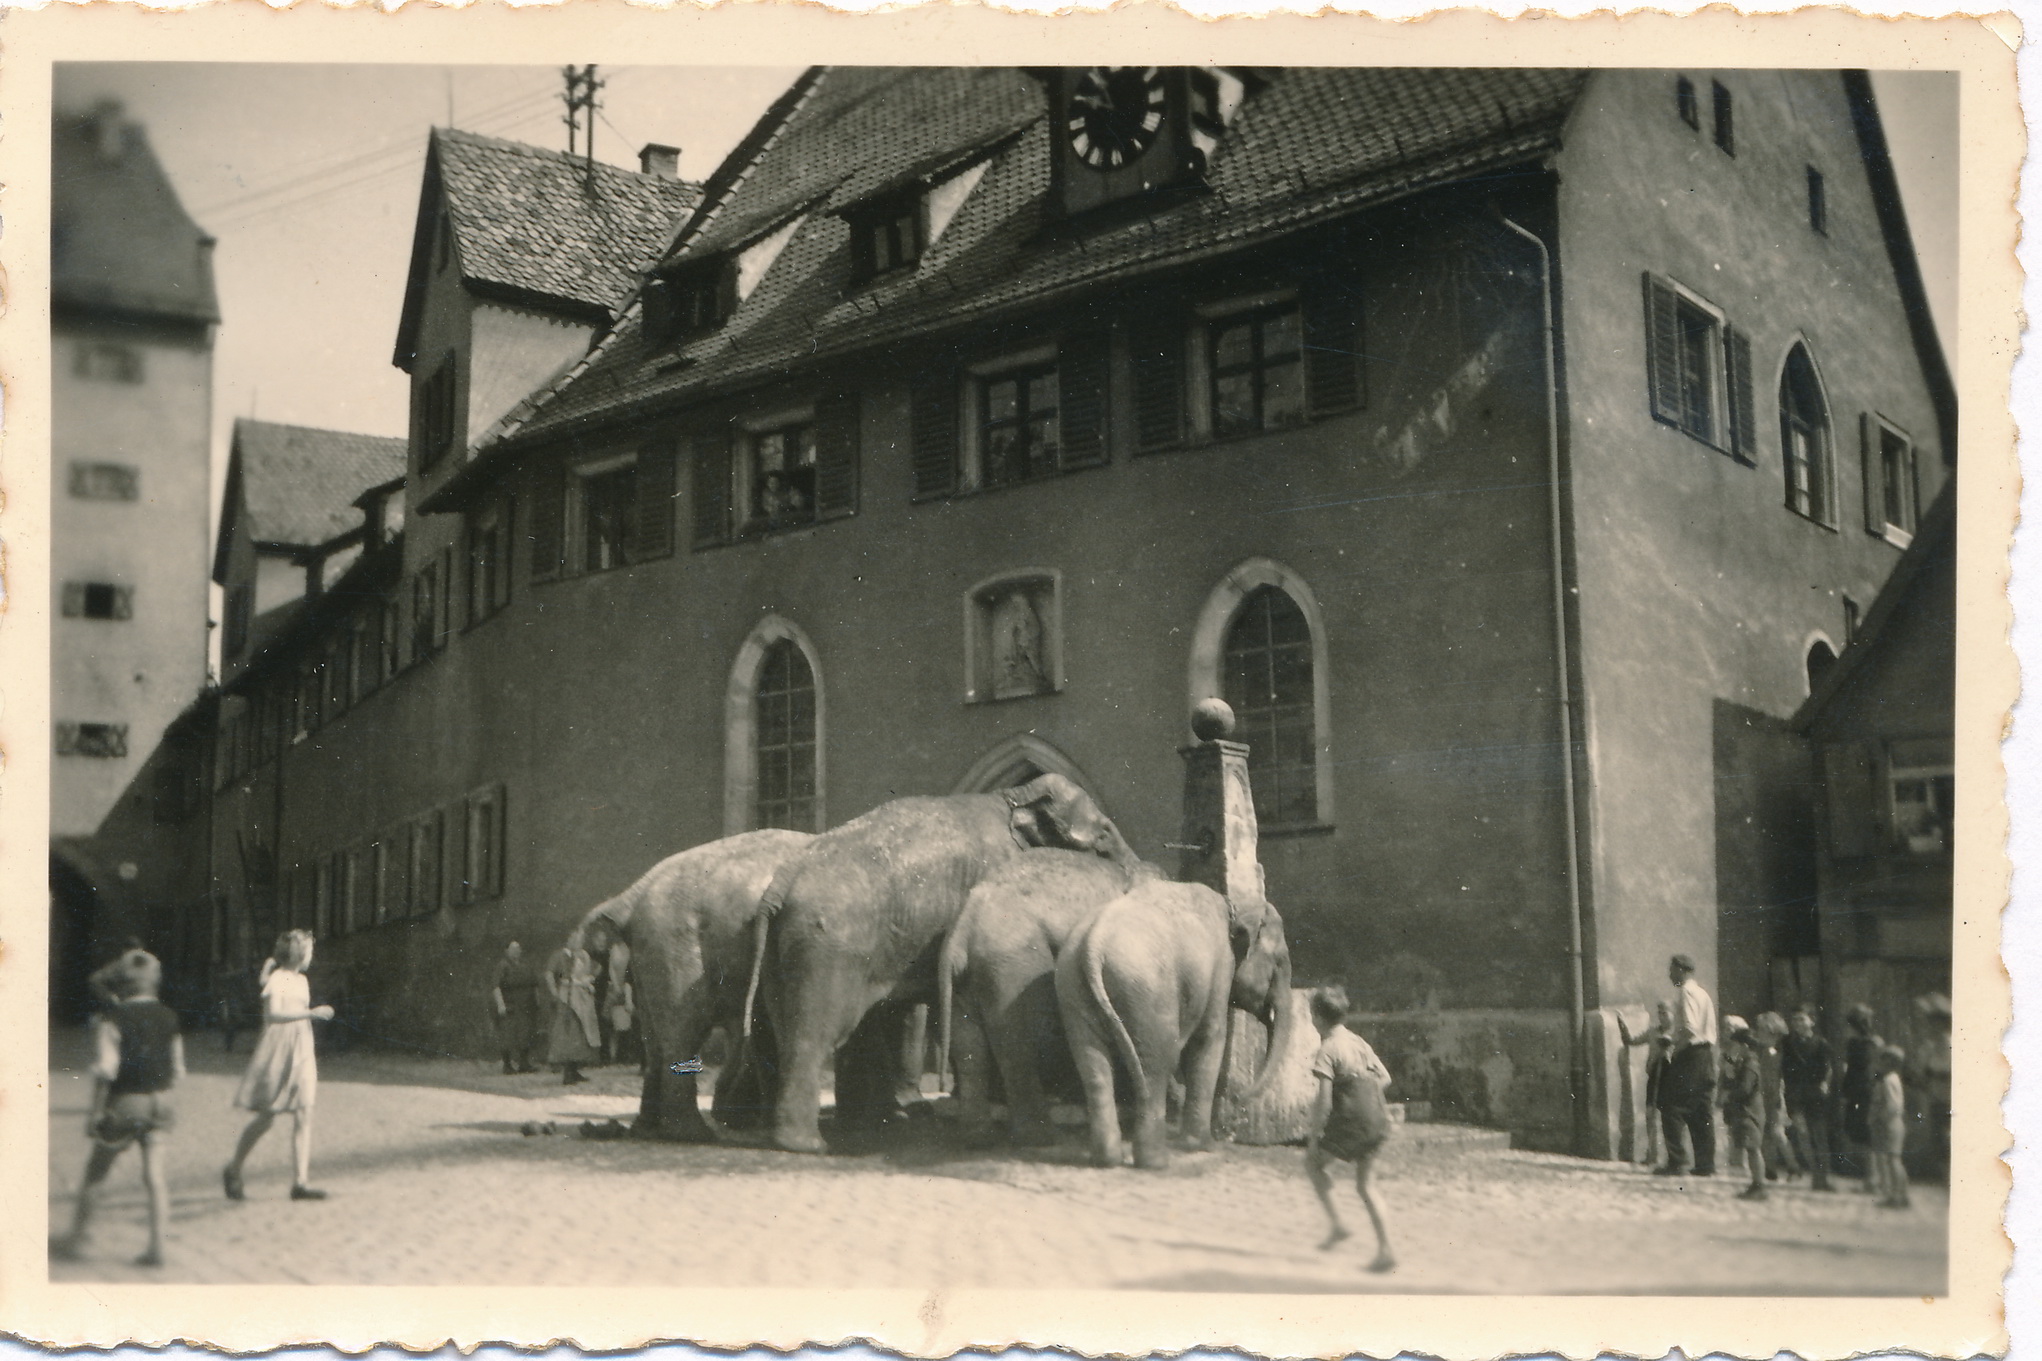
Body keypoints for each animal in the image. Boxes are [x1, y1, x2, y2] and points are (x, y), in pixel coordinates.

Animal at [567, 824, 812, 1142]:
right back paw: (694, 1134)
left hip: (657, 950)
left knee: (656, 1037)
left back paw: (650, 1128)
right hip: (677, 946)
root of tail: (638, 890)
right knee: (683, 1027)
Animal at [935, 844, 1159, 1142]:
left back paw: (977, 1138)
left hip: (968, 977)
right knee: (1018, 1042)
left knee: (969, 1045)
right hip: (1014, 965)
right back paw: (1040, 1137)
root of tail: (963, 927)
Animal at [1053, 885, 1290, 1175]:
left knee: (1093, 1067)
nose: (1237, 1097)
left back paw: (1107, 1161)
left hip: (1072, 991)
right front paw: (1203, 1146)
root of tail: (1093, 945)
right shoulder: (1221, 964)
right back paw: (1155, 1163)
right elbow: (1209, 1035)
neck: (1234, 903)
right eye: (1279, 963)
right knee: (1155, 1065)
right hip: (1147, 995)